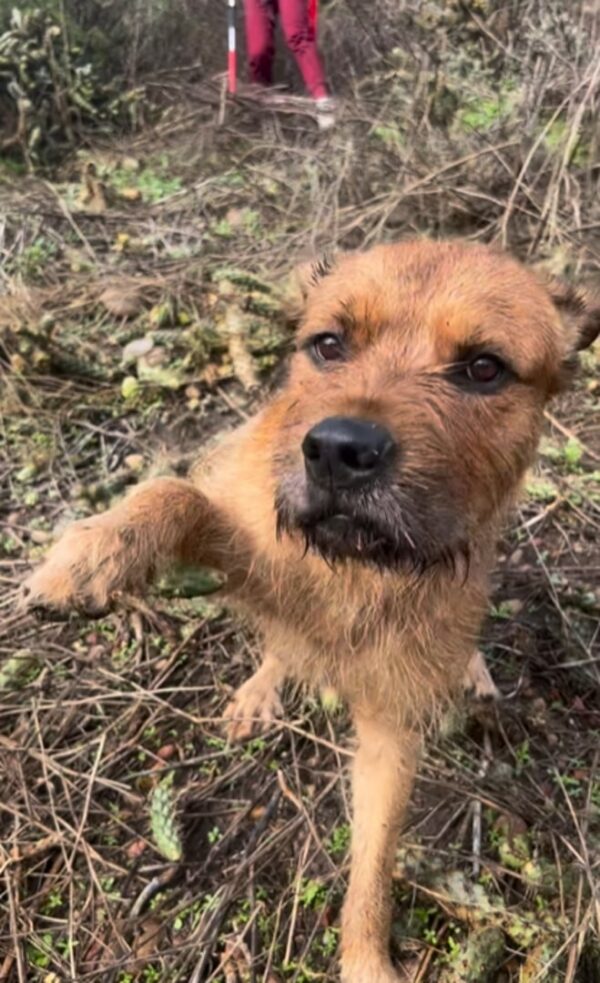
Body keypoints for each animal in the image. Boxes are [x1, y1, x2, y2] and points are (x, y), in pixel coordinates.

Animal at [22, 240, 600, 983]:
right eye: (329, 343)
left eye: (483, 367)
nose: (338, 450)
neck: (360, 569)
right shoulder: (250, 547)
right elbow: (174, 494)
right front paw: (89, 554)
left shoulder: (391, 729)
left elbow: (374, 866)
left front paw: (365, 959)